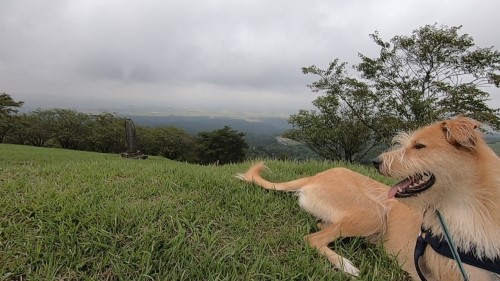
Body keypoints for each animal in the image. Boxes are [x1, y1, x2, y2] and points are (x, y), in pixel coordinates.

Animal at [238, 116, 500, 280]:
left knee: (322, 227)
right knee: (312, 238)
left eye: (419, 146)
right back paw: (345, 265)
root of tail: (316, 175)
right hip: (372, 213)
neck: (474, 210)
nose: (376, 162)